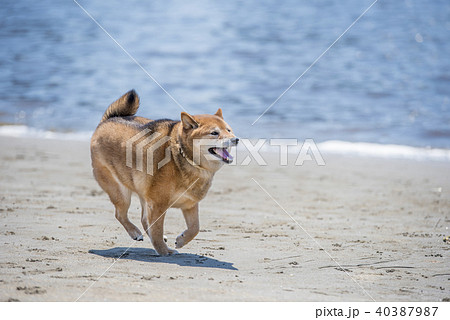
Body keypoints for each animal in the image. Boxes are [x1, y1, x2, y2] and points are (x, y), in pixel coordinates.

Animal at [91, 90, 239, 255]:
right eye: (214, 133)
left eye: (229, 130)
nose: (236, 139)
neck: (183, 156)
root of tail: (106, 121)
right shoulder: (158, 204)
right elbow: (157, 230)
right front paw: (163, 251)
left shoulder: (189, 204)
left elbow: (195, 228)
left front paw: (180, 240)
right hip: (120, 192)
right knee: (121, 214)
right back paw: (135, 233)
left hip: (143, 192)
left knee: (143, 219)